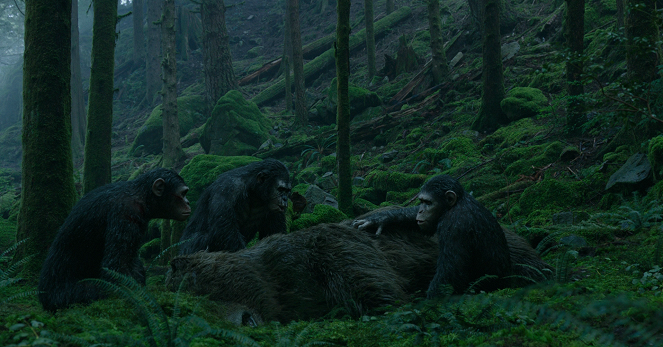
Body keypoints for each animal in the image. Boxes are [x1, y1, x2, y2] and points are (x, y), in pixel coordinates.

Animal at [38, 169, 191, 312]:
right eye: (183, 193)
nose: (188, 202)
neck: (142, 197)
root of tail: (43, 297)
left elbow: (131, 261)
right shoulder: (125, 213)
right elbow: (116, 266)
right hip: (63, 296)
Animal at [352, 175, 512, 298]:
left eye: (429, 203)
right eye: (422, 202)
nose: (421, 211)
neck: (454, 205)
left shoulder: (455, 228)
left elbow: (449, 279)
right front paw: (380, 219)